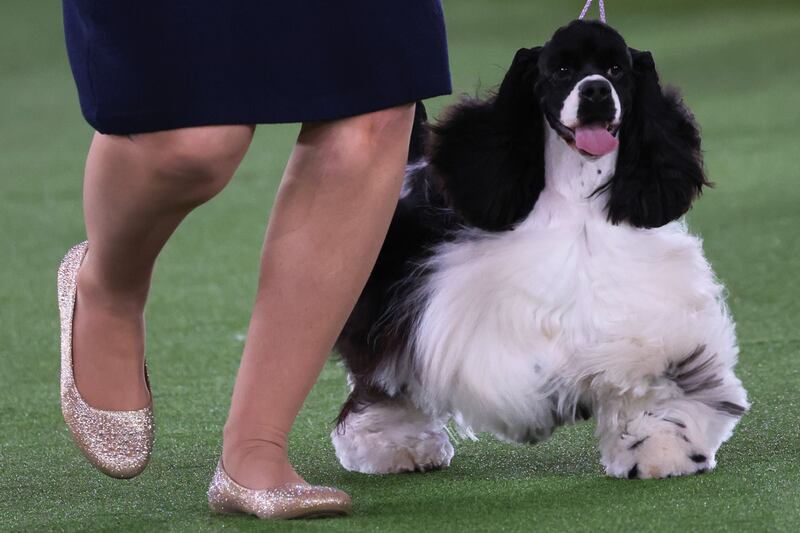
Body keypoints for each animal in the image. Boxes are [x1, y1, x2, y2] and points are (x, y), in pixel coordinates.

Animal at [328, 19, 748, 478]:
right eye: (561, 70)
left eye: (617, 69)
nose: (596, 90)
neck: (579, 193)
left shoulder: (648, 312)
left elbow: (654, 373)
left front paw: (660, 450)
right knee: (381, 379)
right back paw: (393, 448)